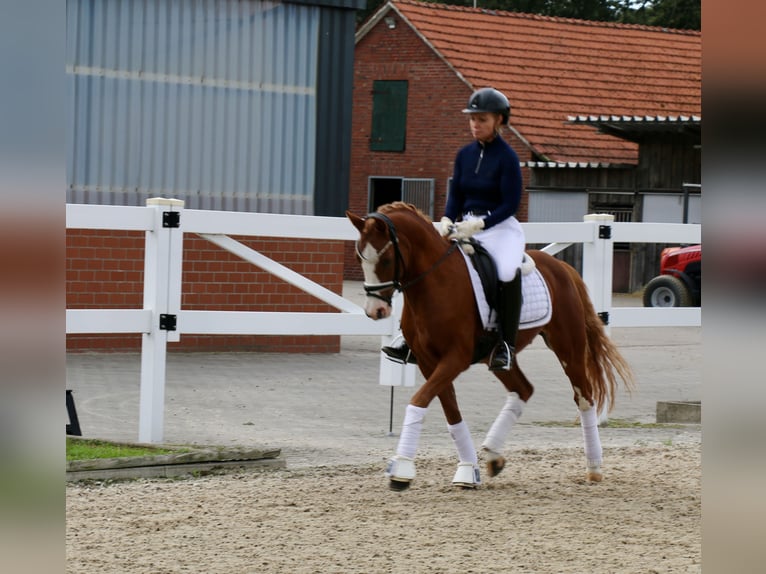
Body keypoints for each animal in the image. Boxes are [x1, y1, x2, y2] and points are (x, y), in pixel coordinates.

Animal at [348, 202, 636, 490]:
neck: (436, 283)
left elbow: (418, 401)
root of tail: (561, 267)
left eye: (385, 260)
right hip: (497, 357)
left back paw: (594, 467)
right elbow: (451, 412)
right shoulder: (430, 363)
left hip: (569, 349)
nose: (375, 311)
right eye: (360, 258)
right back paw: (494, 455)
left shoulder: (455, 359)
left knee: (584, 397)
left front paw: (402, 468)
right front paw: (467, 470)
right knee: (523, 389)